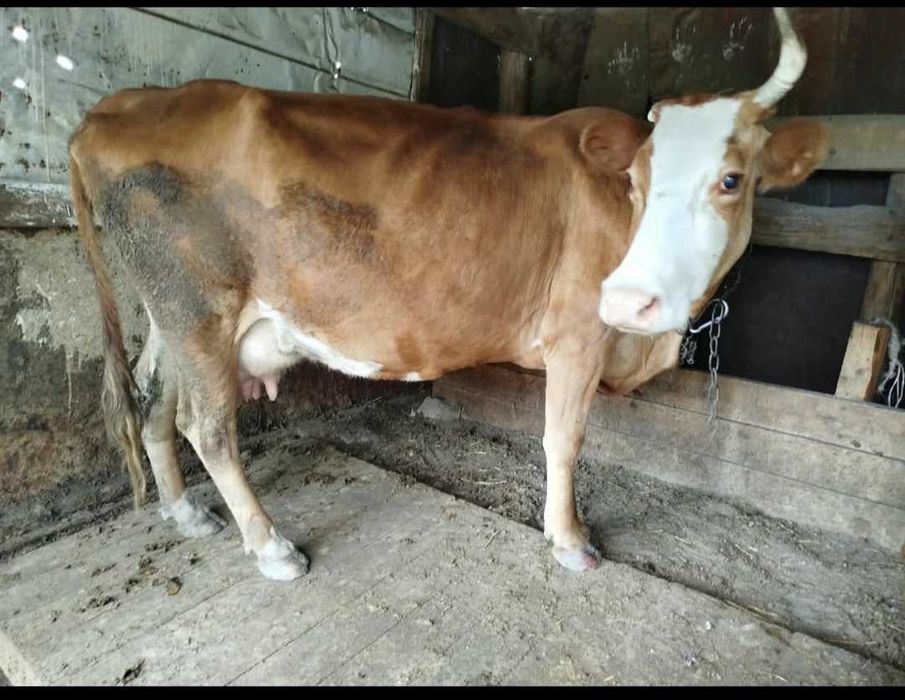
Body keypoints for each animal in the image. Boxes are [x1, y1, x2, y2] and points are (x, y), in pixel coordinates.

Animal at [69, 7, 828, 581]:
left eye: (731, 179)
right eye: (637, 178)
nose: (627, 300)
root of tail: (123, 104)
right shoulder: (579, 333)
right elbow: (564, 437)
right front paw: (570, 539)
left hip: (171, 314)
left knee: (155, 405)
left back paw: (184, 513)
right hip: (198, 308)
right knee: (209, 427)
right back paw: (271, 547)